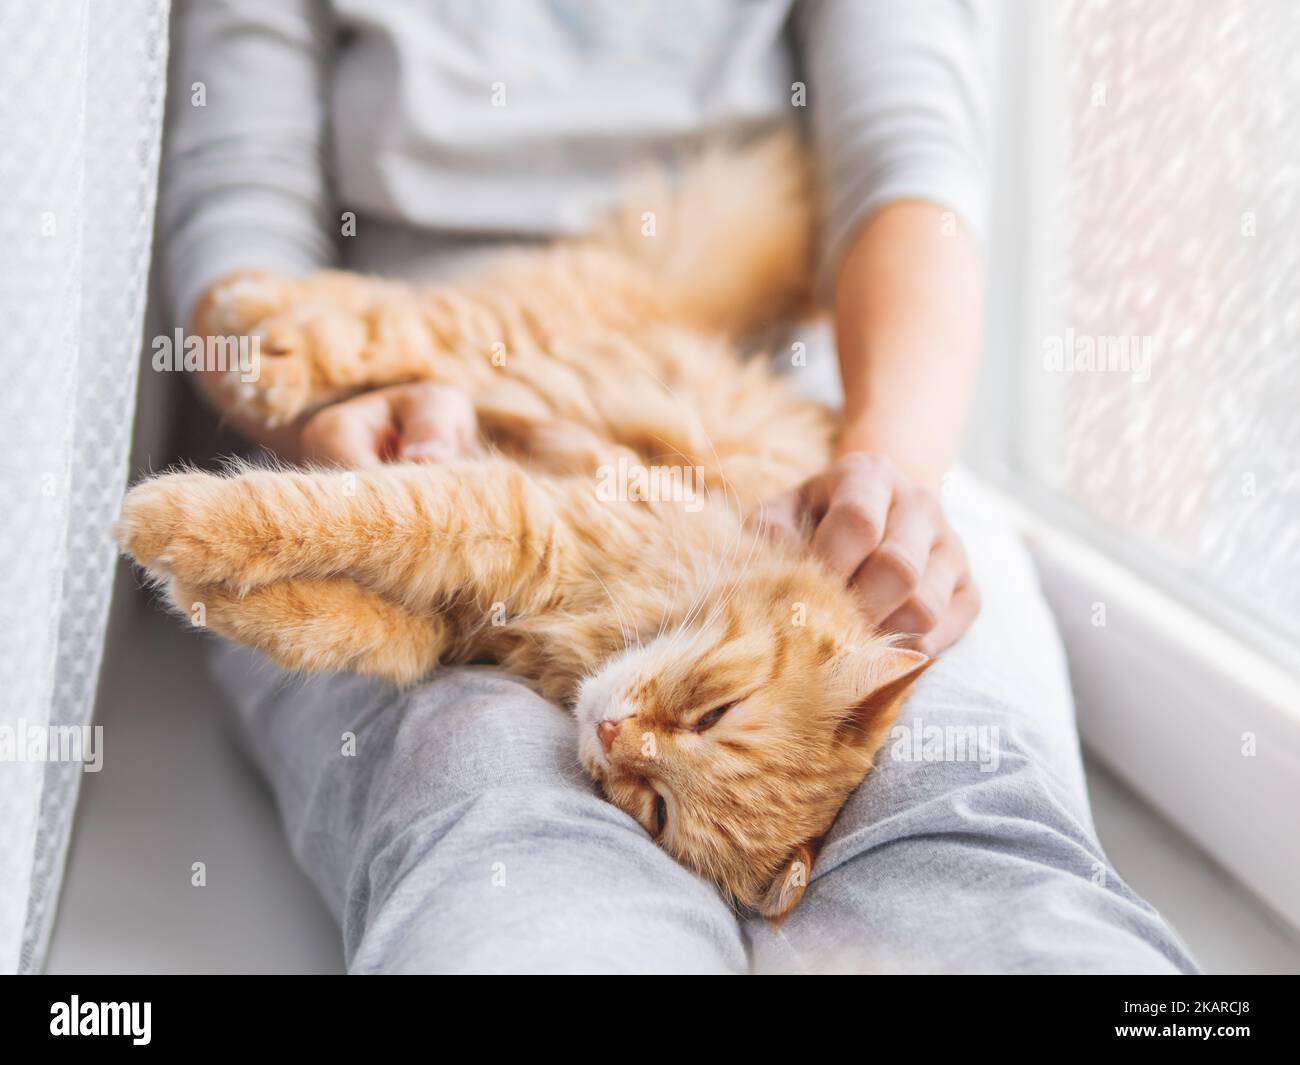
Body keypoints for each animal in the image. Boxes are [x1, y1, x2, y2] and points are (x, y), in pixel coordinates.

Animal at [116, 131, 930, 915]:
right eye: (715, 715)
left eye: (658, 810)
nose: (610, 733)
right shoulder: (523, 518)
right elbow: (339, 513)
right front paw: (164, 520)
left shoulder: (455, 622)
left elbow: (338, 626)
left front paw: (204, 594)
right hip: (512, 330)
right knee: (391, 314)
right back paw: (258, 329)